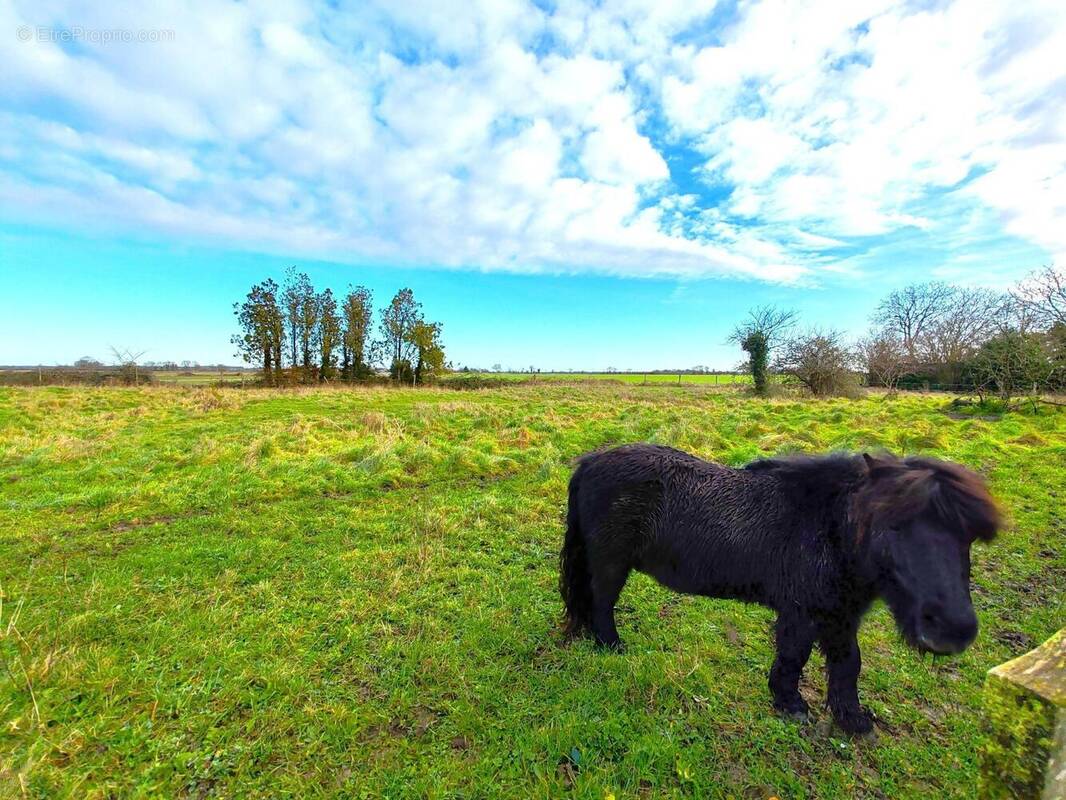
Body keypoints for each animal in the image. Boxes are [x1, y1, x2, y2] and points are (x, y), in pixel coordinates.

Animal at [558, 448, 997, 738]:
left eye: (969, 537)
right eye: (891, 526)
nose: (951, 630)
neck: (828, 528)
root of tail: (590, 462)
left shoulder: (840, 616)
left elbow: (848, 665)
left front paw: (852, 720)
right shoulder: (801, 612)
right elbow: (793, 657)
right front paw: (790, 704)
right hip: (611, 564)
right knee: (602, 603)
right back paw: (611, 646)